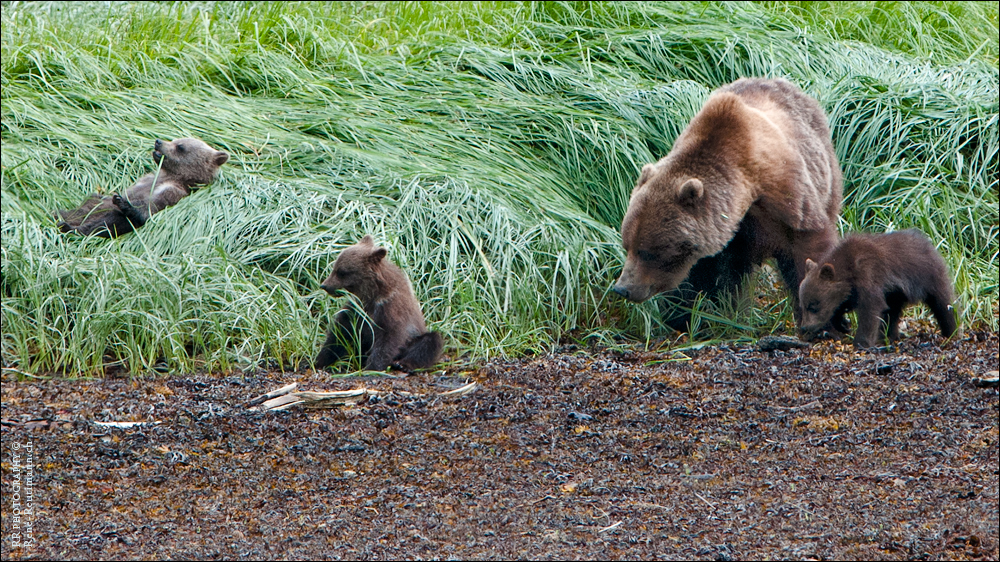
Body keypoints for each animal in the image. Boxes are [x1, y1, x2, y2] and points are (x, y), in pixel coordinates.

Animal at [56, 140, 229, 238]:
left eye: (180, 146)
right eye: (176, 139)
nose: (158, 141)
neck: (171, 176)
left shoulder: (172, 191)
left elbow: (148, 210)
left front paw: (123, 203)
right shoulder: (145, 180)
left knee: (104, 224)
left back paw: (68, 227)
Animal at [612, 76, 840, 326]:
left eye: (647, 252)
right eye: (627, 245)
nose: (622, 288)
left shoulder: (787, 200)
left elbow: (808, 248)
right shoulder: (724, 237)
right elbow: (707, 277)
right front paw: (683, 315)